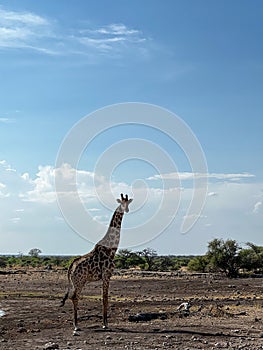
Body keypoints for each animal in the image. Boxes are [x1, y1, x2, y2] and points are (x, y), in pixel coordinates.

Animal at [60, 193, 133, 334]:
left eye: (128, 203)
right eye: (121, 203)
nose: (126, 210)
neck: (111, 249)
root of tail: (71, 267)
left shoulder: (105, 276)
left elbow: (104, 298)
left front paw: (105, 323)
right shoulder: (106, 275)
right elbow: (105, 298)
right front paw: (105, 324)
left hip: (75, 282)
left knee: (72, 297)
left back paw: (76, 324)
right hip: (80, 281)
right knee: (74, 297)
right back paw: (76, 326)